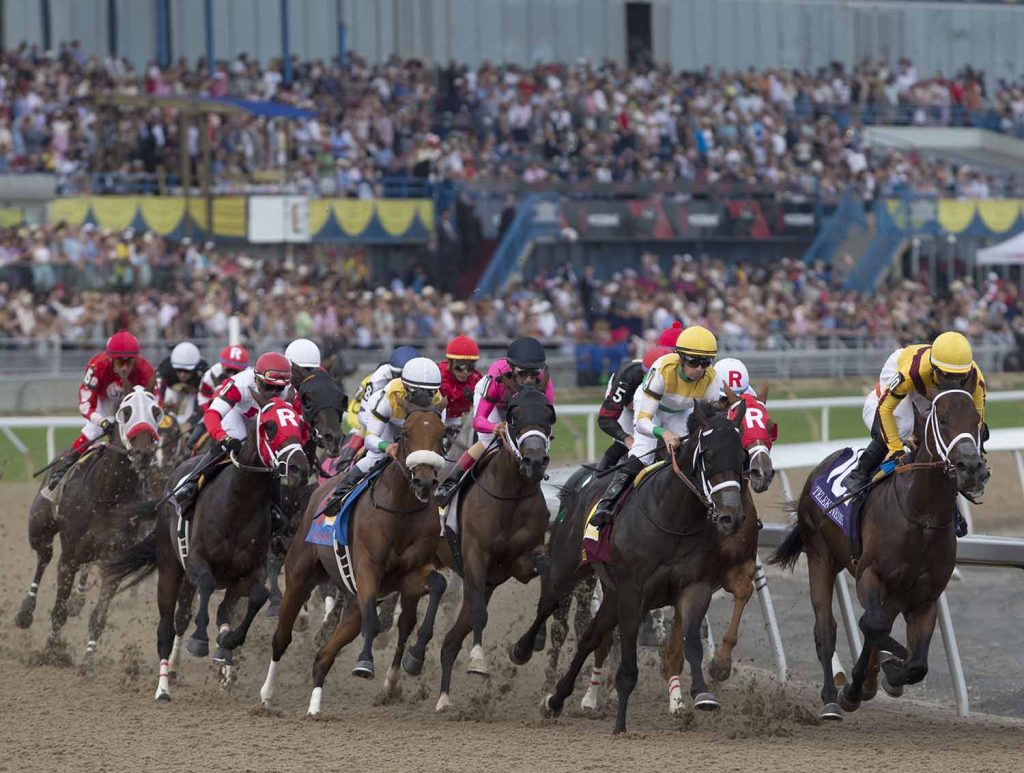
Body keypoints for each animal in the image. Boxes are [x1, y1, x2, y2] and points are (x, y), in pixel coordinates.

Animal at [14, 384, 161, 663]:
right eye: (126, 411)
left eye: (156, 411)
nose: (144, 453)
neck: (108, 494)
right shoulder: (69, 556)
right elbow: (58, 609)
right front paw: (52, 651)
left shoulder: (116, 558)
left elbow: (99, 616)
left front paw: (89, 659)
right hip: (38, 527)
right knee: (44, 556)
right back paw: (25, 611)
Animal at [107, 395, 311, 704]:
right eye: (270, 426)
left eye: (299, 425)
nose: (299, 468)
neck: (239, 504)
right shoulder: (197, 561)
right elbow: (205, 585)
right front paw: (200, 640)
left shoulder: (250, 570)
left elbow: (258, 597)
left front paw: (228, 641)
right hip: (171, 568)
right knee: (168, 626)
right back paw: (163, 686)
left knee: (216, 612)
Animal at [256, 395, 448, 716]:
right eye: (405, 433)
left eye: (441, 435)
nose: (423, 481)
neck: (401, 511)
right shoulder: (368, 567)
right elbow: (373, 617)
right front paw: (364, 663)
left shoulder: (411, 575)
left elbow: (437, 586)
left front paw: (416, 656)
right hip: (298, 578)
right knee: (281, 637)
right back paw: (267, 695)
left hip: (350, 600)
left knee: (324, 654)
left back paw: (315, 706)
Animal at [428, 384, 561, 712]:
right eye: (513, 416)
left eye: (548, 416)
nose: (535, 462)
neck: (510, 496)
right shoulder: (475, 555)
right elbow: (480, 613)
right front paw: (478, 661)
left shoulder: (523, 561)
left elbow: (547, 578)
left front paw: (528, 644)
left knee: (451, 640)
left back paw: (442, 696)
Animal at [770, 384, 987, 720]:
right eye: (942, 419)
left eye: (977, 421)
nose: (972, 468)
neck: (921, 516)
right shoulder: (870, 575)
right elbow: (872, 626)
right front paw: (856, 686)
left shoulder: (924, 598)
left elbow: (917, 663)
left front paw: (892, 674)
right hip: (821, 556)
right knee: (826, 629)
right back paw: (832, 697)